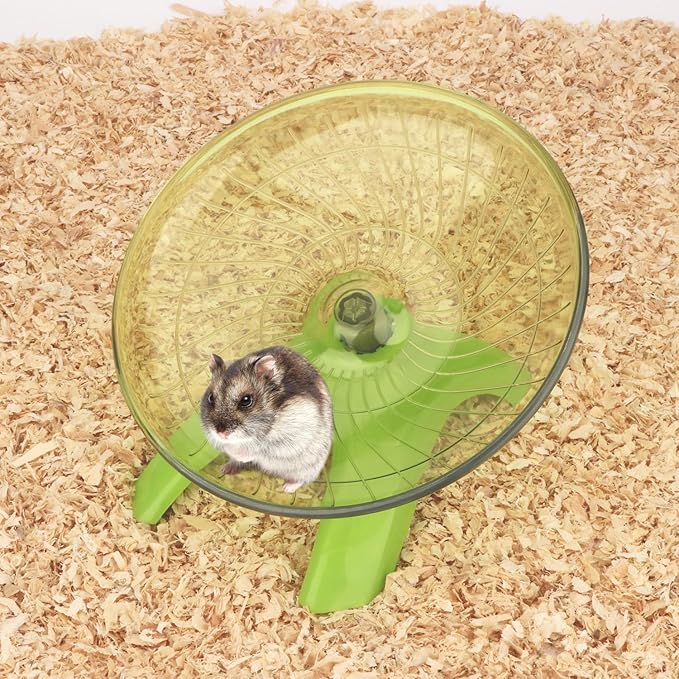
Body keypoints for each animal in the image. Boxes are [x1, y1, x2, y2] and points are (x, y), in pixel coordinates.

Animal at [199, 346, 334, 493]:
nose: (221, 433)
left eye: (246, 400)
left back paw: (287, 488)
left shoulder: (288, 439)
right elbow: (230, 448)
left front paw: (244, 455)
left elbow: (260, 450)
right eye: (211, 398)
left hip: (308, 468)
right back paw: (226, 469)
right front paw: (230, 455)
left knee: (301, 479)